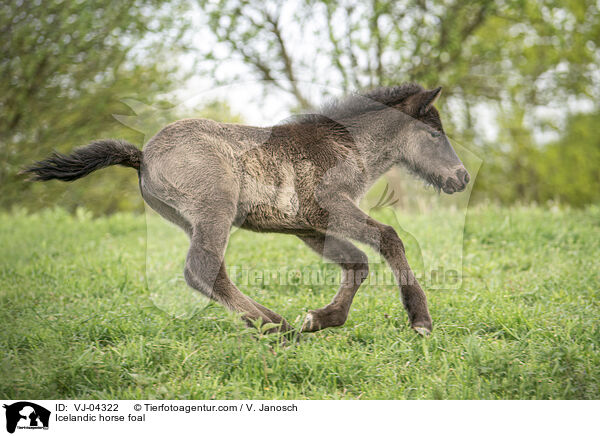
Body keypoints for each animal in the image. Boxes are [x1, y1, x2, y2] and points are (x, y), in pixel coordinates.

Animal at [24, 86, 468, 338]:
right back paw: (273, 326)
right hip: (215, 210)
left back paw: (280, 324)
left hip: (193, 220)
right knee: (202, 268)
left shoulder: (308, 226)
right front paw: (420, 321)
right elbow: (390, 238)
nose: (461, 177)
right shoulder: (330, 207)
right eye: (434, 134)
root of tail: (142, 156)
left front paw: (320, 318)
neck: (345, 145)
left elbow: (356, 262)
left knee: (210, 271)